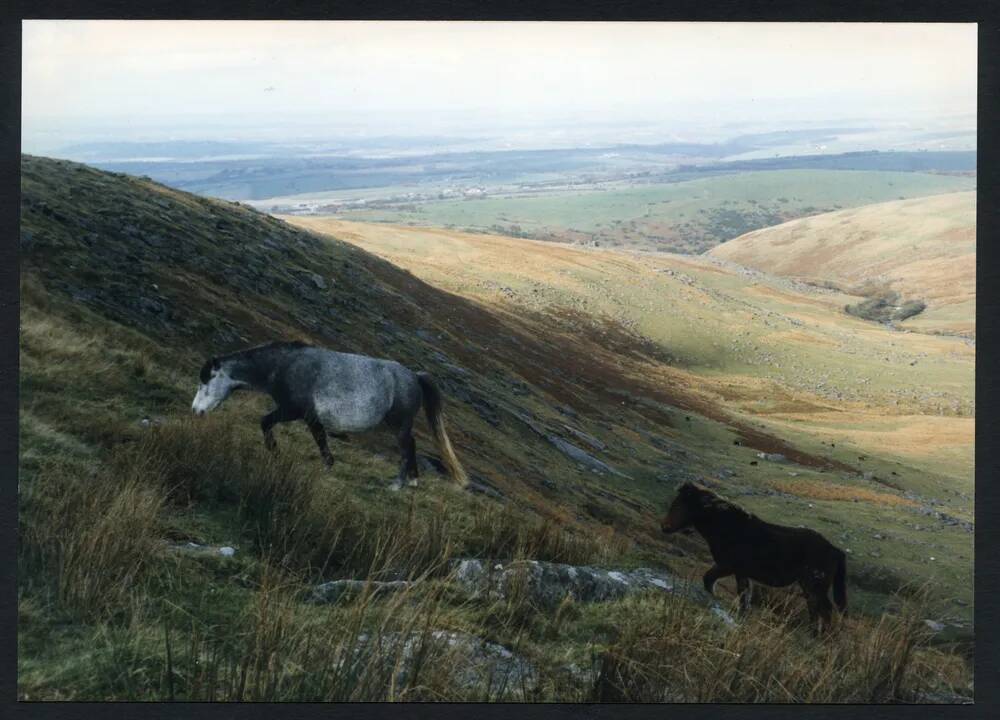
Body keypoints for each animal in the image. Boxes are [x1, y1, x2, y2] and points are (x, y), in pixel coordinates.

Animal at [660, 484, 848, 632]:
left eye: (683, 506)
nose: (664, 526)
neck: (728, 527)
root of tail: (835, 550)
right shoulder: (740, 572)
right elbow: (741, 595)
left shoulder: (728, 566)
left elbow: (712, 580)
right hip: (809, 587)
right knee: (815, 609)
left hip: (815, 585)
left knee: (825, 610)